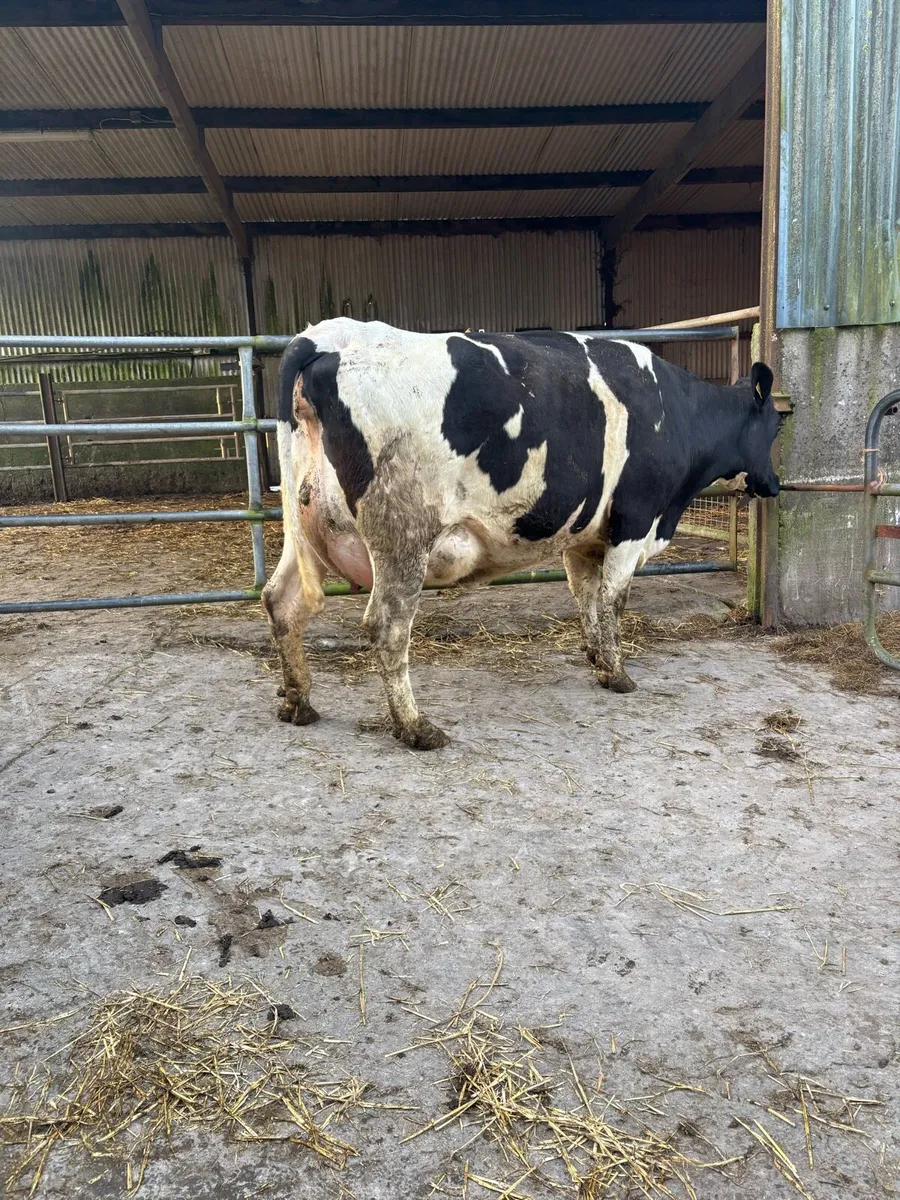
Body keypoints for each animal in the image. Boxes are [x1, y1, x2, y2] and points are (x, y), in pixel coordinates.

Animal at [263, 318, 780, 750]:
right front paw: (618, 674)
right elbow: (613, 600)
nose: (774, 485)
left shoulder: (585, 534)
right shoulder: (635, 520)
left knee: (282, 600)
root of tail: (329, 335)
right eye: (777, 425)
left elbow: (586, 596)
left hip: (303, 527)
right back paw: (416, 727)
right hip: (402, 532)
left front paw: (596, 657)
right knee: (387, 626)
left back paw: (298, 702)